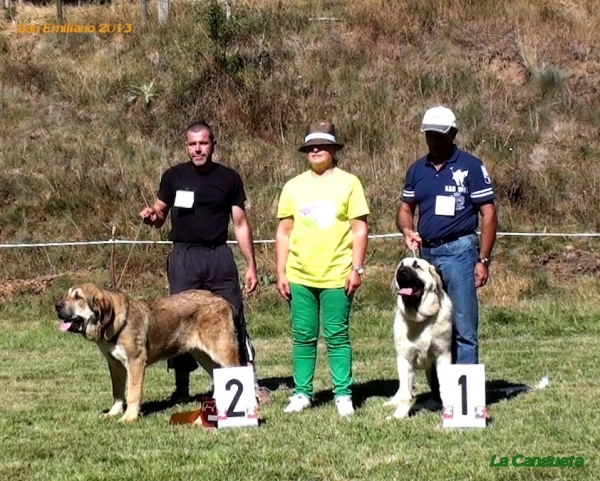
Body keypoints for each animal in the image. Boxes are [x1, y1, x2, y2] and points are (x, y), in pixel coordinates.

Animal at [386, 256, 452, 418]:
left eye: (416, 266)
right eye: (401, 265)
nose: (401, 271)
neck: (420, 319)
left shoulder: (443, 355)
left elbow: (444, 386)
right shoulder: (404, 359)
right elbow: (405, 393)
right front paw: (399, 416)